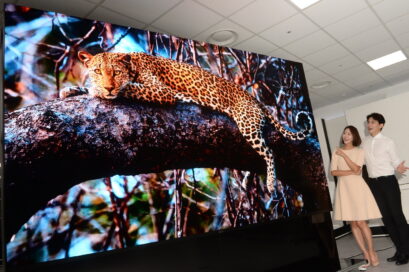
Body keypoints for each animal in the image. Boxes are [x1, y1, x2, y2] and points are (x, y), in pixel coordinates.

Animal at [59, 51, 310, 193]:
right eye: (97, 71)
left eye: (116, 72)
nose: (108, 86)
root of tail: (255, 100)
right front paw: (73, 90)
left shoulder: (161, 91)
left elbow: (128, 88)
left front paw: (99, 91)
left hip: (246, 123)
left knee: (269, 152)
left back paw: (271, 183)